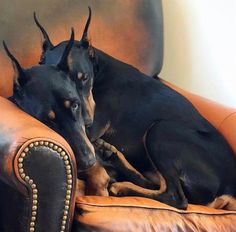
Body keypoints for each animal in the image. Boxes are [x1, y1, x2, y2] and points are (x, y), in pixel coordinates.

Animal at [33, 9, 236, 209]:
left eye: (84, 78)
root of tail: (229, 188)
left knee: (176, 197)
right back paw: (113, 156)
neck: (99, 71)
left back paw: (121, 185)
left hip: (161, 129)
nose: (87, 121)